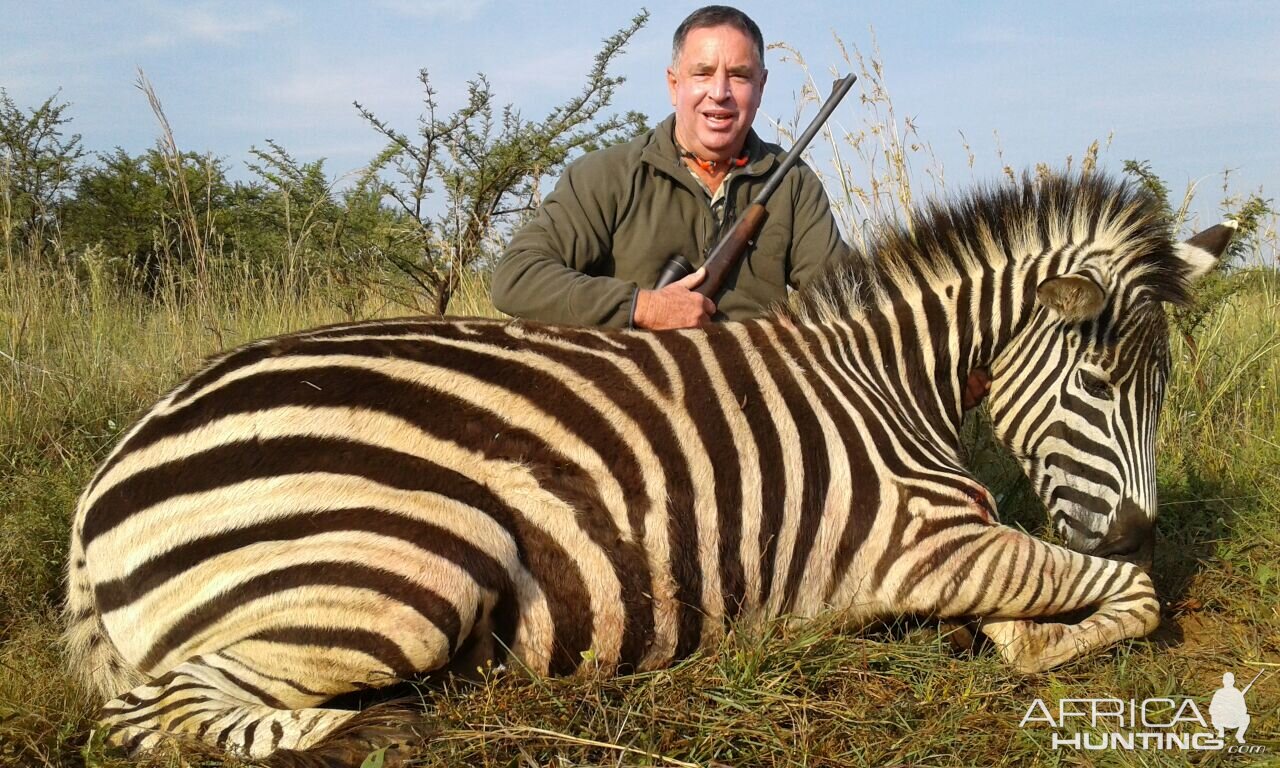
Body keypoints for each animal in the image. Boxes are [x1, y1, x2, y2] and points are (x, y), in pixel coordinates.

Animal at [67, 175, 1228, 762]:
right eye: (1098, 386)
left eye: (1163, 386)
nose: (1138, 525)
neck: (885, 380)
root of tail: (108, 476)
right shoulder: (926, 544)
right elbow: (1130, 600)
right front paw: (1032, 645)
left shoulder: (962, 547)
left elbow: (1085, 597)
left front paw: (1017, 634)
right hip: (402, 573)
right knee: (155, 718)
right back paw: (377, 731)